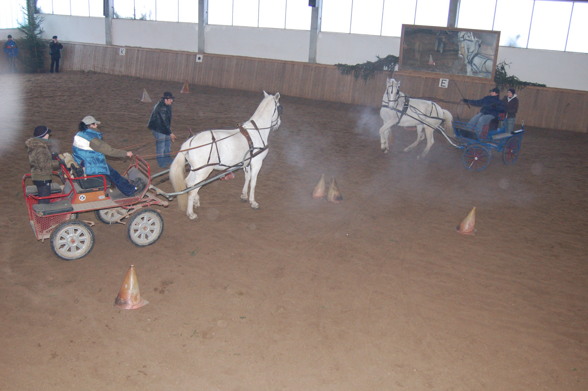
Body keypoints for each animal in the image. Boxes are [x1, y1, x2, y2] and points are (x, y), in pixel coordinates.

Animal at [170, 92, 282, 220]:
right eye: (280, 108)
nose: (278, 124)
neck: (257, 130)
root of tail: (189, 142)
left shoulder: (247, 163)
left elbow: (247, 178)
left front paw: (244, 196)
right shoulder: (257, 162)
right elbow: (253, 182)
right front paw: (253, 202)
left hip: (196, 169)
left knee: (189, 183)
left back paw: (196, 201)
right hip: (203, 171)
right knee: (193, 188)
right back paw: (191, 213)